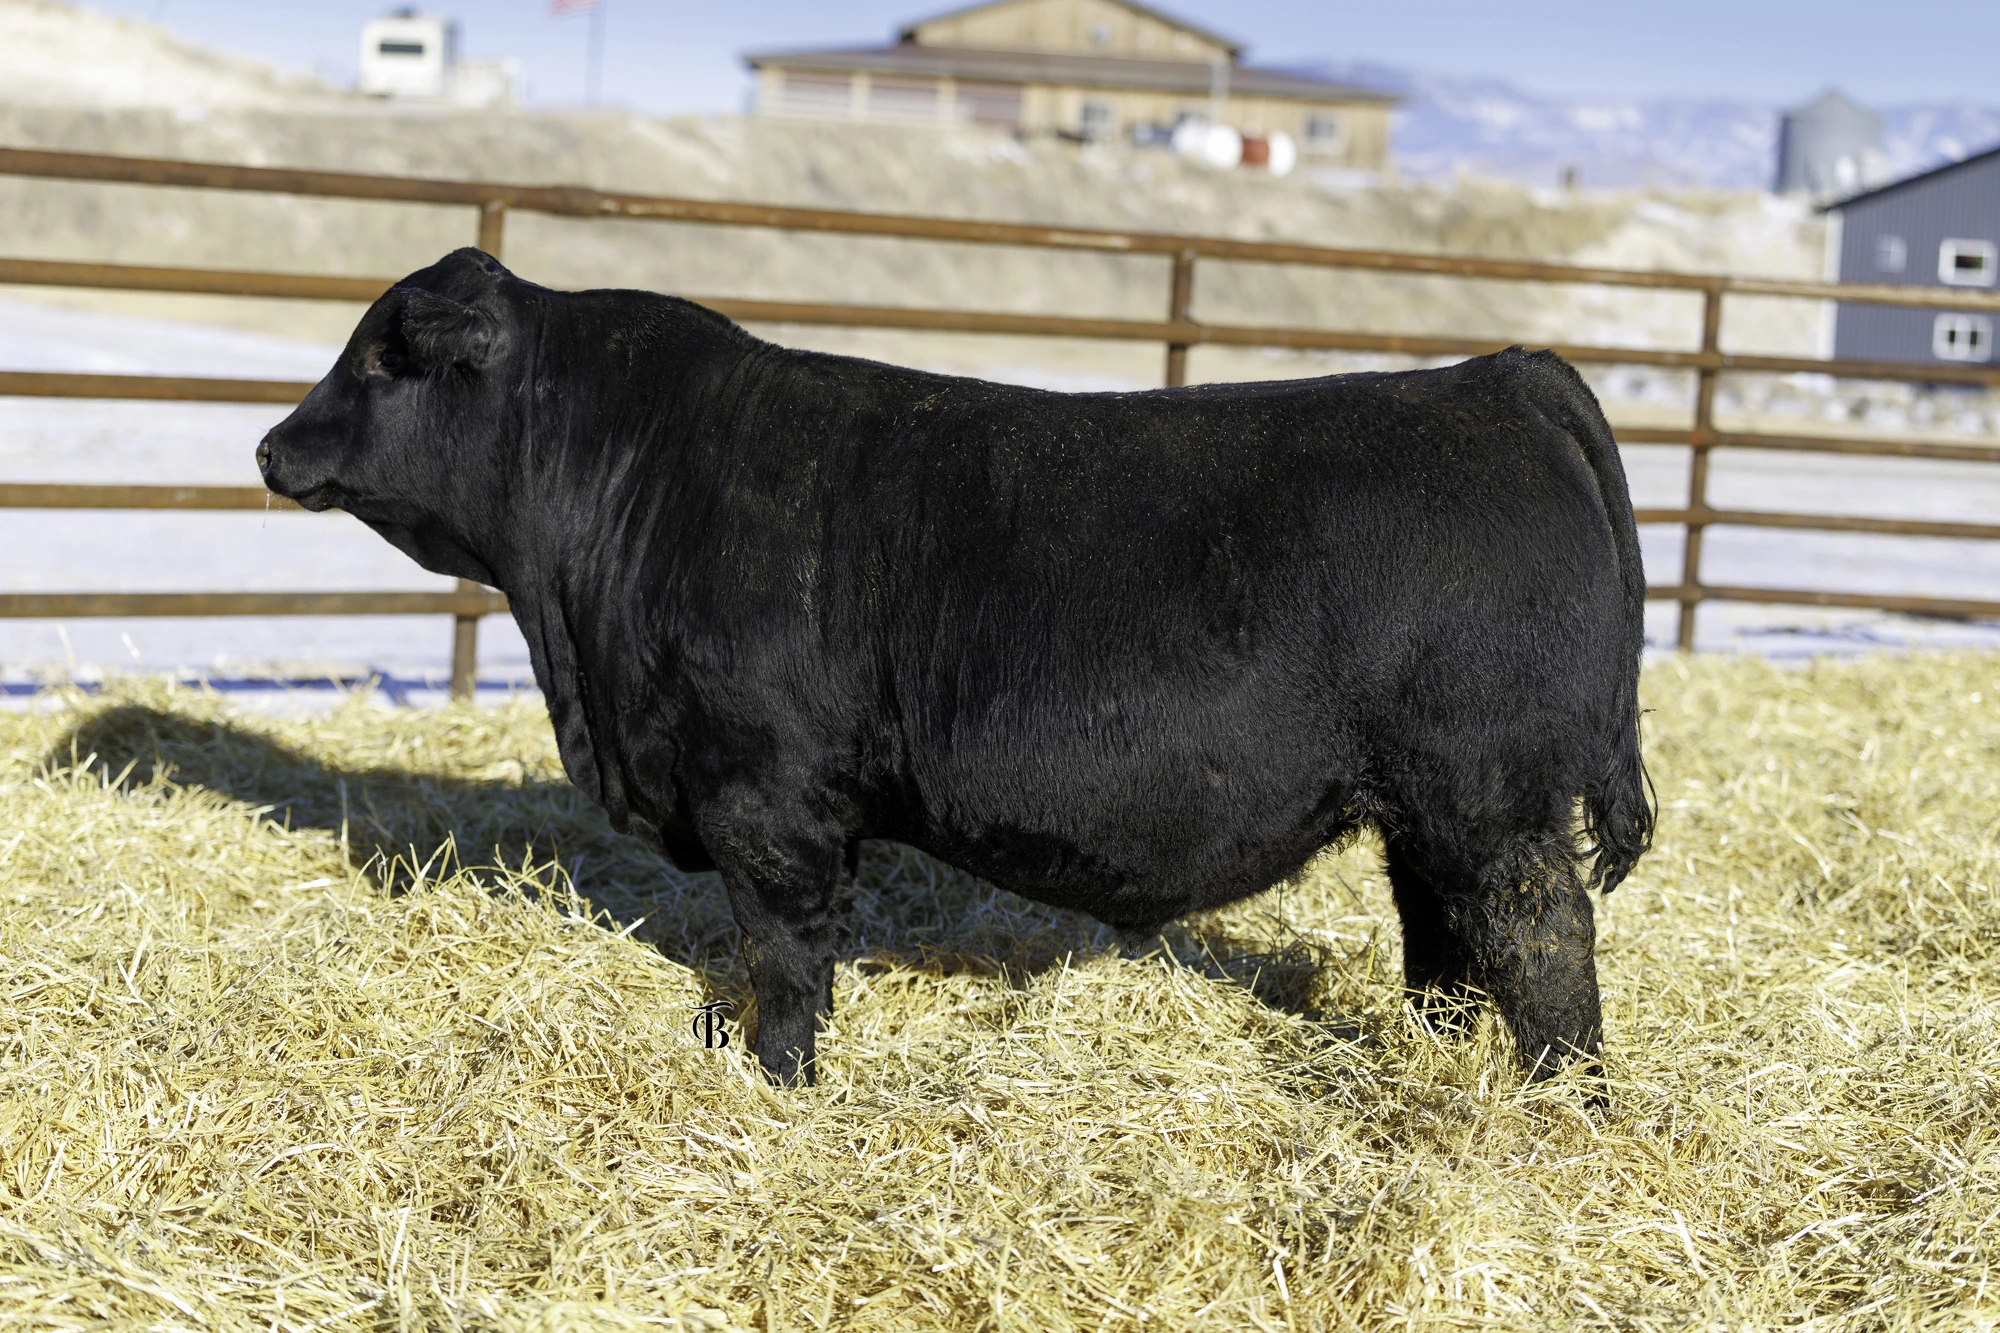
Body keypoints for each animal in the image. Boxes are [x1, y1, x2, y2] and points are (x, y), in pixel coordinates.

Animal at [257, 248, 1654, 1089]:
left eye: (382, 356)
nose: (271, 447)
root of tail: (1497, 379)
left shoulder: (766, 797)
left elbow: (784, 952)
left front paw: (776, 1076)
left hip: (1489, 795)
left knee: (1540, 937)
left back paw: (1557, 1100)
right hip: (1426, 804)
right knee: (1442, 935)